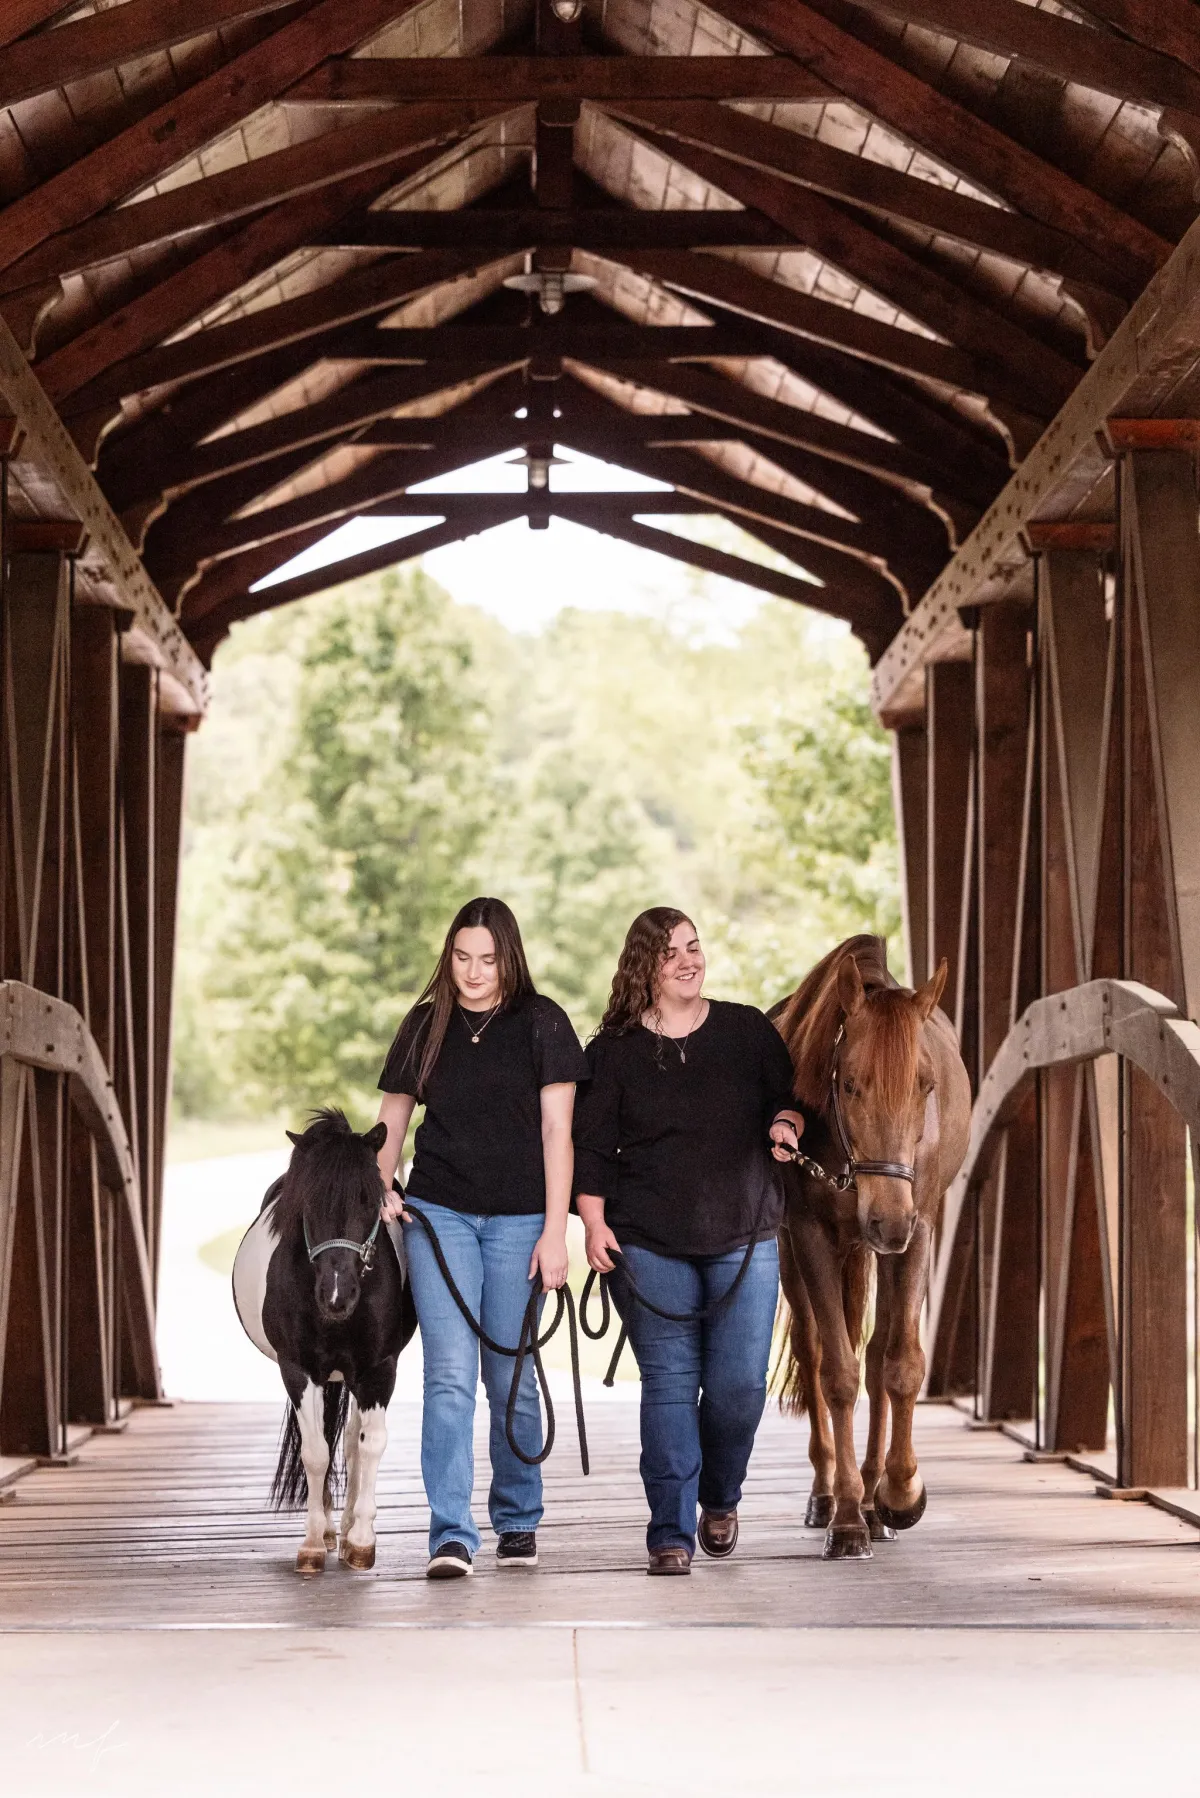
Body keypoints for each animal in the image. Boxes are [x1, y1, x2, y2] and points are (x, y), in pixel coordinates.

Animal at [233, 1107, 417, 1575]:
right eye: (309, 1204)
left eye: (370, 1200)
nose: (338, 1295)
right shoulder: (299, 1370)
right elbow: (314, 1452)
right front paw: (314, 1542)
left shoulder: (378, 1369)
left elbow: (368, 1447)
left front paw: (362, 1540)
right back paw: (333, 1529)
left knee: (351, 1442)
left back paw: (348, 1529)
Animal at [773, 942, 971, 1560]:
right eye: (850, 1085)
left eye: (925, 1086)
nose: (886, 1218)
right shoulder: (809, 1233)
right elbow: (837, 1371)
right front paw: (845, 1520)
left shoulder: (919, 1229)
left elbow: (900, 1363)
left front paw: (899, 1493)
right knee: (813, 1348)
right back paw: (831, 1495)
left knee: (881, 1346)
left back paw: (871, 1495)